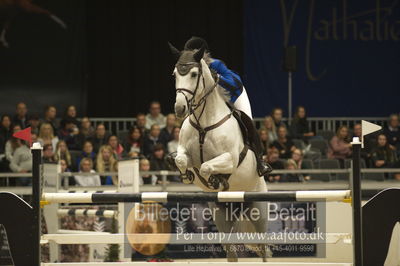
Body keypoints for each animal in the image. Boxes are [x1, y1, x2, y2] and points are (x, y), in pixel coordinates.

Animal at [167, 42, 270, 260]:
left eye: (194, 74)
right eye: (174, 74)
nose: (180, 109)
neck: (204, 123)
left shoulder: (230, 159)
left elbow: (207, 166)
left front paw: (216, 180)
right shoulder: (184, 152)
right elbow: (181, 161)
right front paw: (187, 175)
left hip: (259, 211)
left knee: (263, 248)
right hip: (222, 217)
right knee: (231, 251)